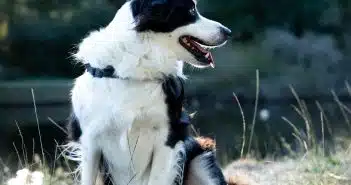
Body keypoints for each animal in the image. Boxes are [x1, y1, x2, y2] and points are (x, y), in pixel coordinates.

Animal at [66, 0, 232, 184]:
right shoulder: (89, 141)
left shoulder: (168, 138)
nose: (228, 32)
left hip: (202, 159)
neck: (135, 69)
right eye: (191, 10)